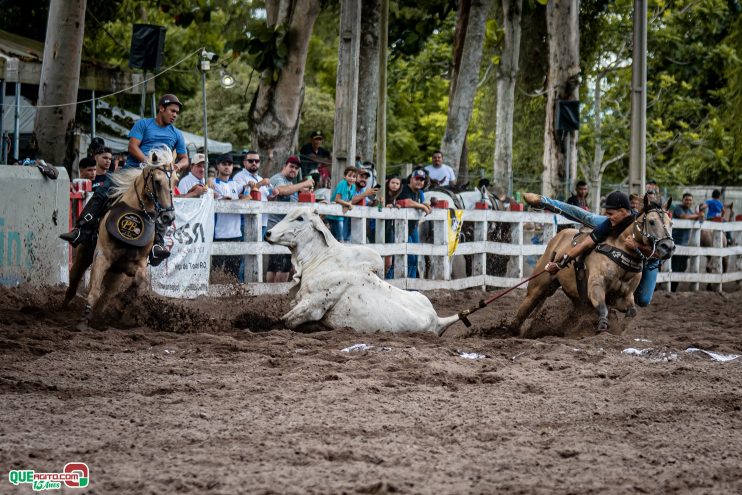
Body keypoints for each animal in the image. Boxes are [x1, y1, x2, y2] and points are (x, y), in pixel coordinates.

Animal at [63, 147, 177, 328]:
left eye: (174, 180)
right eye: (157, 181)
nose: (168, 217)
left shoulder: (135, 265)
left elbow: (141, 284)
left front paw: (121, 305)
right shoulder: (102, 256)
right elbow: (94, 290)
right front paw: (83, 320)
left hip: (116, 273)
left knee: (106, 296)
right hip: (83, 256)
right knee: (73, 284)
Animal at [265, 207, 460, 335]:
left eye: (300, 218)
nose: (268, 233)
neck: (320, 259)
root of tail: (436, 319)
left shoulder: (311, 306)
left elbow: (284, 321)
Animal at [512, 197, 675, 336]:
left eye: (671, 223)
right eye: (652, 222)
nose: (668, 247)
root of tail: (559, 236)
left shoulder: (626, 296)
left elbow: (632, 312)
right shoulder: (595, 285)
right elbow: (602, 307)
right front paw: (602, 325)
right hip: (537, 286)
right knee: (524, 310)